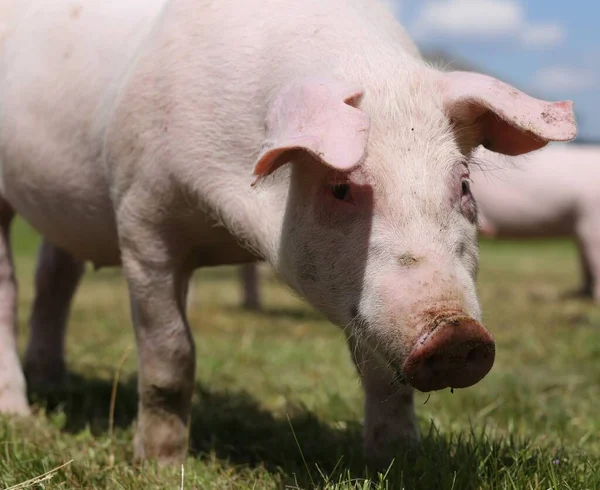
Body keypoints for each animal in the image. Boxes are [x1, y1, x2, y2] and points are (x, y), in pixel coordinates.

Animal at [0, 0, 576, 468]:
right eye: (341, 188)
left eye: (463, 183)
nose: (457, 333)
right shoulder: (141, 215)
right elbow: (170, 353)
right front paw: (160, 465)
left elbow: (379, 373)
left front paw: (400, 459)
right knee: (10, 289)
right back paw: (21, 414)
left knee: (55, 276)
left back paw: (53, 380)